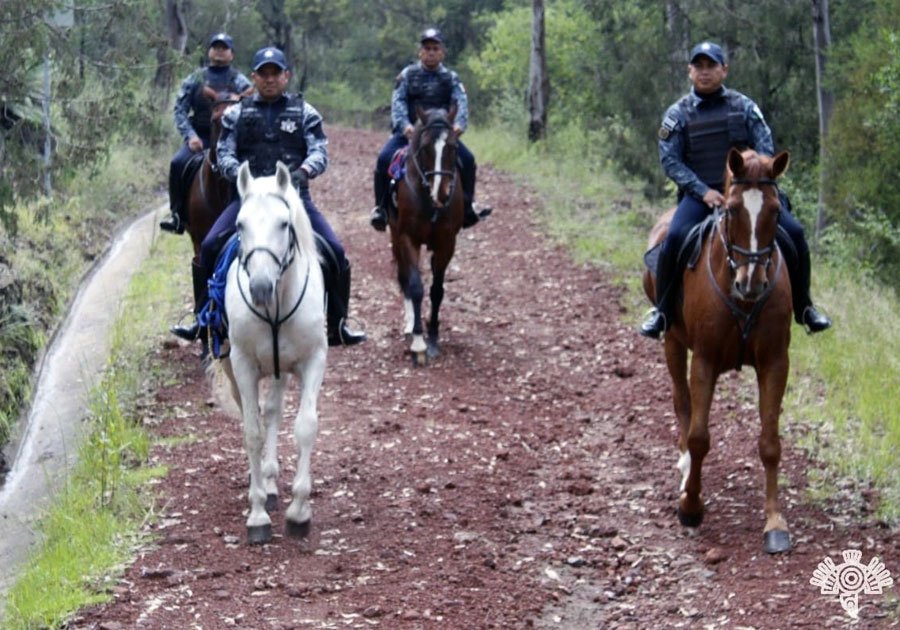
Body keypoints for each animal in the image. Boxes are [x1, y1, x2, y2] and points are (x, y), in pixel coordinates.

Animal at [214, 160, 326, 544]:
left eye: (284, 223)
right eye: (240, 225)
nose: (260, 288)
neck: (276, 305)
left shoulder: (313, 360)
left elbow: (305, 426)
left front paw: (299, 512)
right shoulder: (243, 365)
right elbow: (252, 432)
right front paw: (258, 514)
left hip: (280, 369)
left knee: (274, 412)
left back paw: (274, 482)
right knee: (259, 417)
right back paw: (262, 482)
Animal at [386, 103, 464, 366]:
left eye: (453, 146)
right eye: (425, 148)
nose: (441, 192)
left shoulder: (446, 243)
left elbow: (437, 291)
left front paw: (433, 338)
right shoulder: (407, 238)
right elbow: (416, 286)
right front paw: (419, 344)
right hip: (394, 234)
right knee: (405, 277)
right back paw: (411, 323)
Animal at [640, 148, 796, 552]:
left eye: (776, 210)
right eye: (731, 209)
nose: (751, 283)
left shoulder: (775, 362)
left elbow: (770, 443)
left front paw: (775, 522)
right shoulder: (705, 360)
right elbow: (698, 437)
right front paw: (690, 506)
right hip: (673, 342)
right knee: (681, 402)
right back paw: (683, 471)